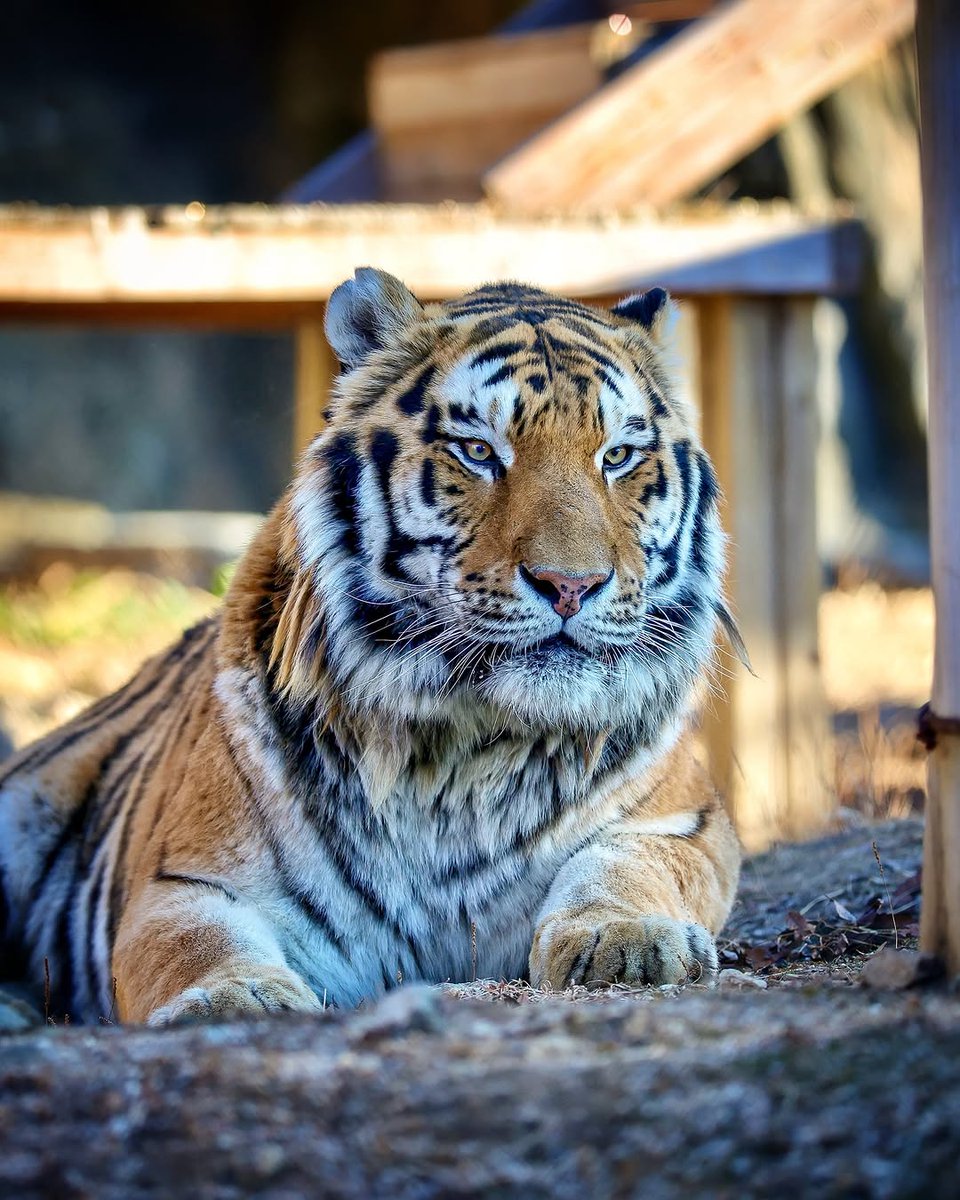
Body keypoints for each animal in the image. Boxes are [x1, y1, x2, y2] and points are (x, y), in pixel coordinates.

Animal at [0, 269, 742, 1025]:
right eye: (478, 451)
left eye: (618, 457)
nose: (572, 585)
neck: (468, 752)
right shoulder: (185, 879)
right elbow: (195, 943)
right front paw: (237, 998)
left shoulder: (683, 822)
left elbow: (629, 867)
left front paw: (628, 938)